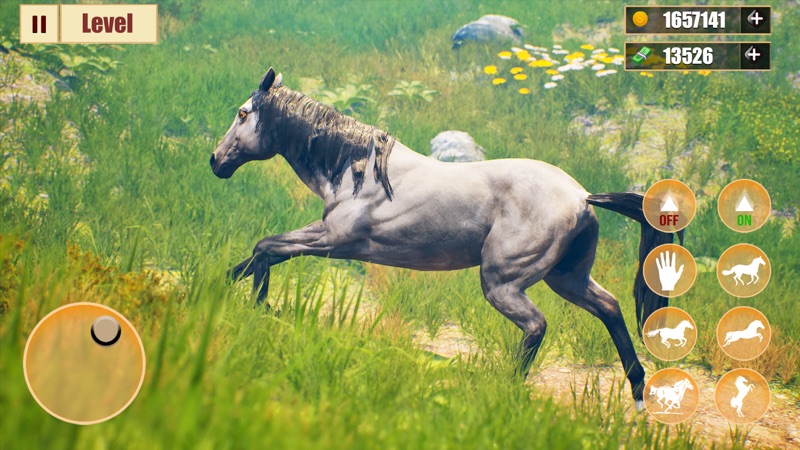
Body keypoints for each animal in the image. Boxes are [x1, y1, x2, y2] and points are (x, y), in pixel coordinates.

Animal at [210, 68, 679, 407]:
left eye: (243, 113)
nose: (216, 161)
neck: (360, 173)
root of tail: (582, 196)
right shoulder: (326, 238)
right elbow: (262, 251)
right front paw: (218, 291)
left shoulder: (332, 240)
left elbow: (266, 248)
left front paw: (260, 308)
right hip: (566, 277)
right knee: (610, 308)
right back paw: (638, 393)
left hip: (502, 281)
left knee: (536, 325)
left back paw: (504, 390)